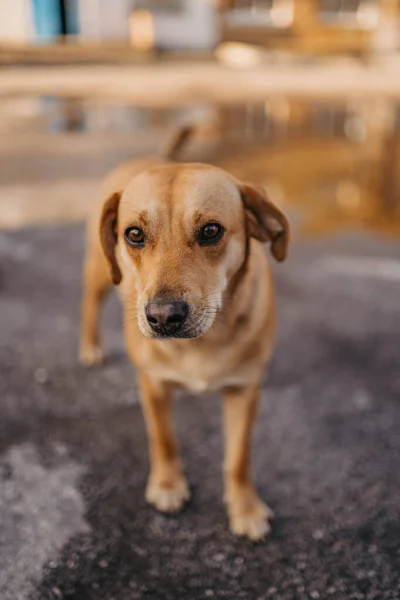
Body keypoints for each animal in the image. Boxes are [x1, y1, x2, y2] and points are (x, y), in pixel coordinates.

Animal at [79, 125, 290, 540]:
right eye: (134, 234)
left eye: (211, 231)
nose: (163, 317)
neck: (202, 343)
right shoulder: (153, 385)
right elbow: (164, 439)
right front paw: (167, 485)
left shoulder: (245, 391)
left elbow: (238, 457)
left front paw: (245, 507)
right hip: (98, 273)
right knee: (88, 306)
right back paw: (90, 346)